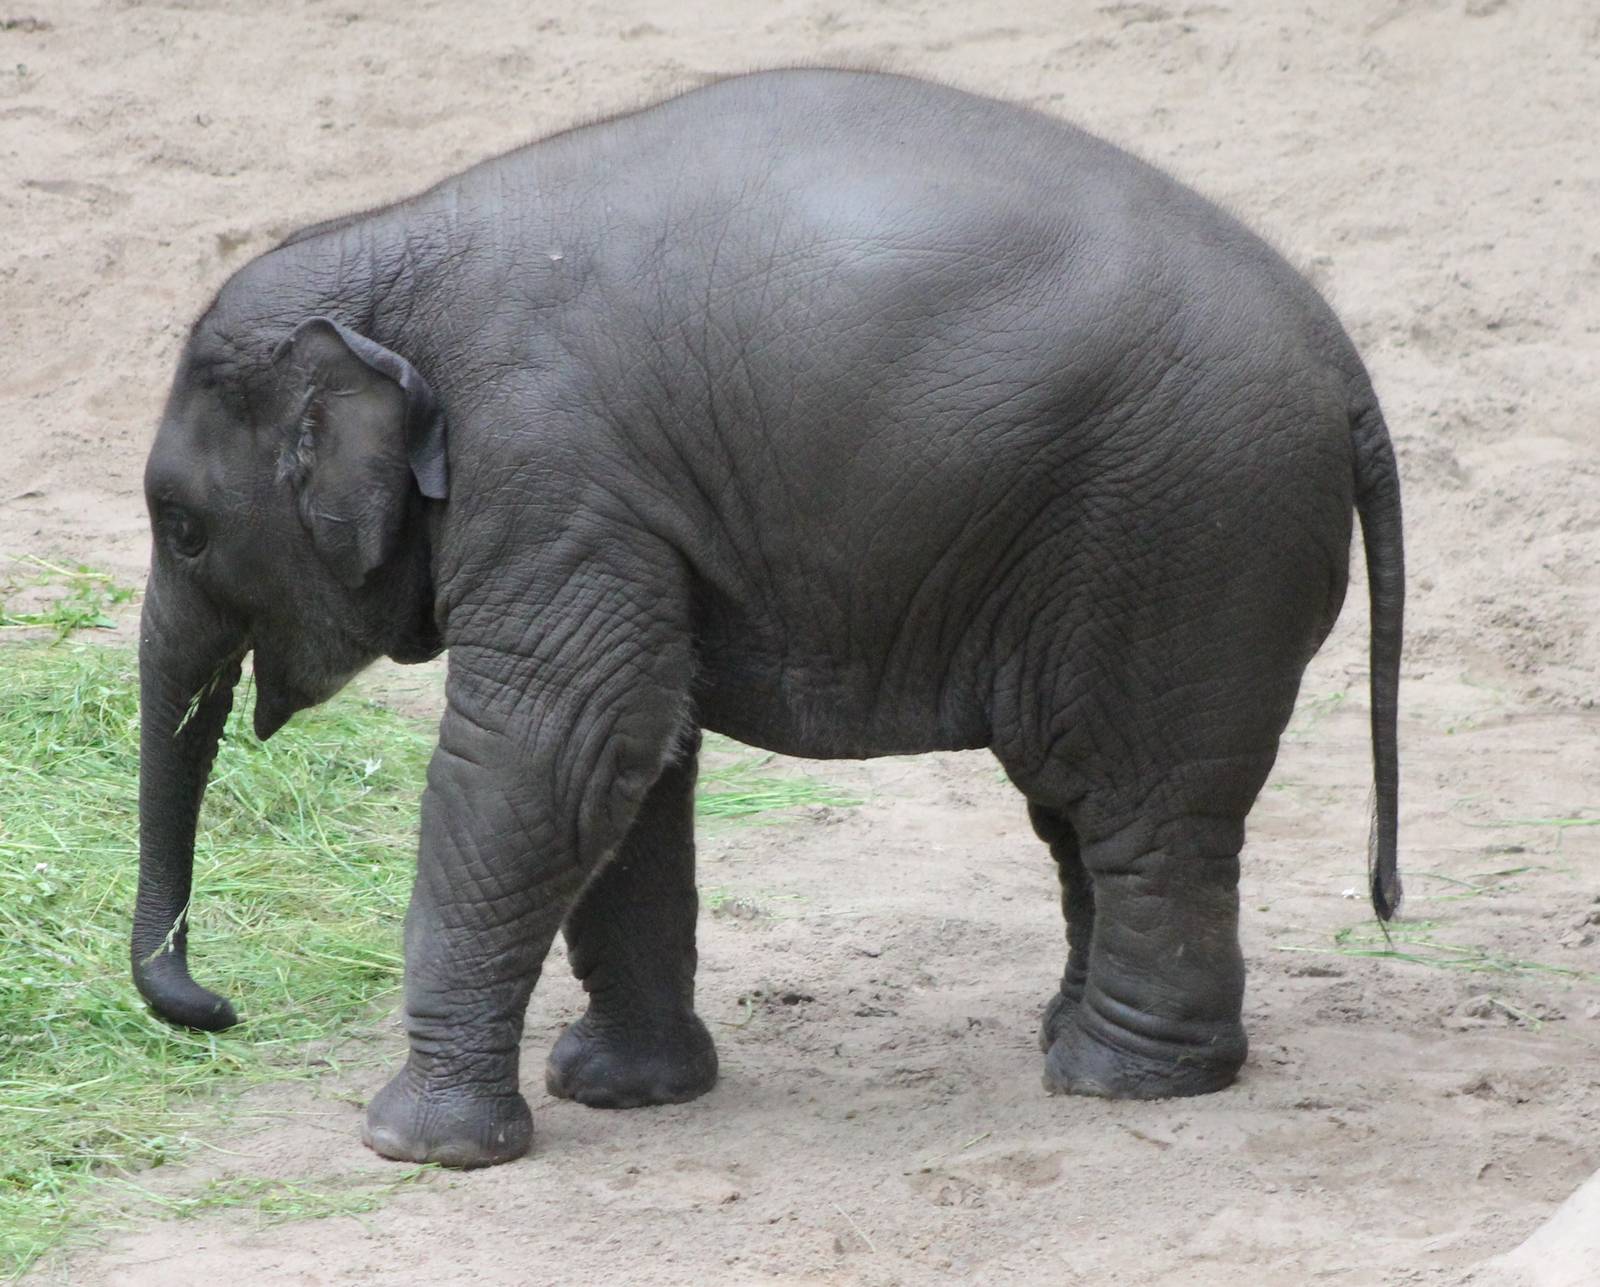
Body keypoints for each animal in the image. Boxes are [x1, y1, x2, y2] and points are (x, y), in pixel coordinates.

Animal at [133, 68, 1403, 1169]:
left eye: (182, 526)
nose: (218, 1006)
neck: (383, 249)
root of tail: (1348, 368)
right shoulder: (620, 514)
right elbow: (635, 761)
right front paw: (621, 1091)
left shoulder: (551, 472)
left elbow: (561, 745)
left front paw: (418, 1147)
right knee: (1079, 800)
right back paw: (1075, 1042)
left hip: (1180, 537)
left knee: (1137, 801)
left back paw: (1116, 1081)